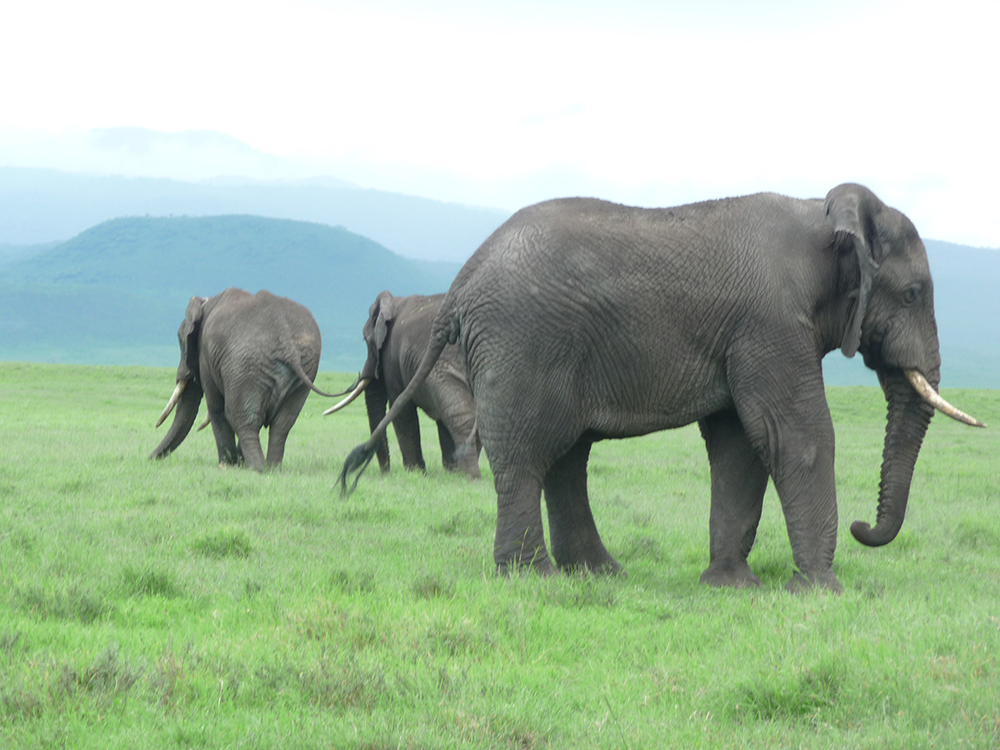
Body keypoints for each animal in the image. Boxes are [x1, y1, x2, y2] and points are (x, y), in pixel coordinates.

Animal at [148, 288, 336, 470]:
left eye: (181, 341)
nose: (148, 458)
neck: (207, 302)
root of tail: (286, 342)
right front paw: (237, 462)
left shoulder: (206, 357)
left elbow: (216, 407)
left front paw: (227, 465)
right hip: (304, 370)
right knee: (282, 423)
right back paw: (272, 468)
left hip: (245, 366)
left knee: (240, 417)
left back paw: (257, 468)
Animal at [324, 290, 480, 478]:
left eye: (366, 340)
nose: (386, 473)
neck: (395, 303)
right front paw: (448, 472)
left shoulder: (392, 359)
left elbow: (401, 410)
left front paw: (415, 472)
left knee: (459, 415)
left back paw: (470, 476)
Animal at [344, 184, 984, 592]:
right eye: (913, 293)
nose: (862, 528)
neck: (823, 218)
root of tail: (461, 280)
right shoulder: (770, 325)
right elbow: (795, 436)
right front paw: (820, 590)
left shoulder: (746, 334)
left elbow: (739, 446)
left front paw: (732, 587)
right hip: (522, 344)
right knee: (530, 455)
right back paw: (535, 580)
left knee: (565, 458)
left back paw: (598, 575)